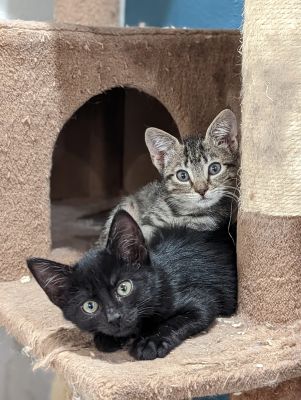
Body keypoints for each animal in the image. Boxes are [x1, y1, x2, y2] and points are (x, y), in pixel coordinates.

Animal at [26, 209, 237, 360]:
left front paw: (150, 342)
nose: (114, 317)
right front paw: (107, 337)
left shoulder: (202, 301)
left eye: (124, 288)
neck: (161, 279)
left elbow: (178, 320)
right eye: (89, 306)